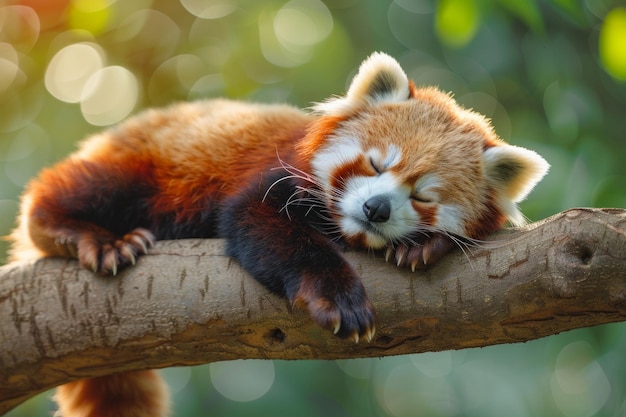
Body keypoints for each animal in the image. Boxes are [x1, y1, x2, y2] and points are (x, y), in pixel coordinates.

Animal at [8, 52, 544, 416]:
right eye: (376, 164)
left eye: (423, 197)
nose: (375, 208)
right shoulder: (271, 176)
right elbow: (263, 227)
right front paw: (337, 297)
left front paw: (422, 247)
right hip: (145, 165)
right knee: (78, 189)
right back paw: (81, 232)